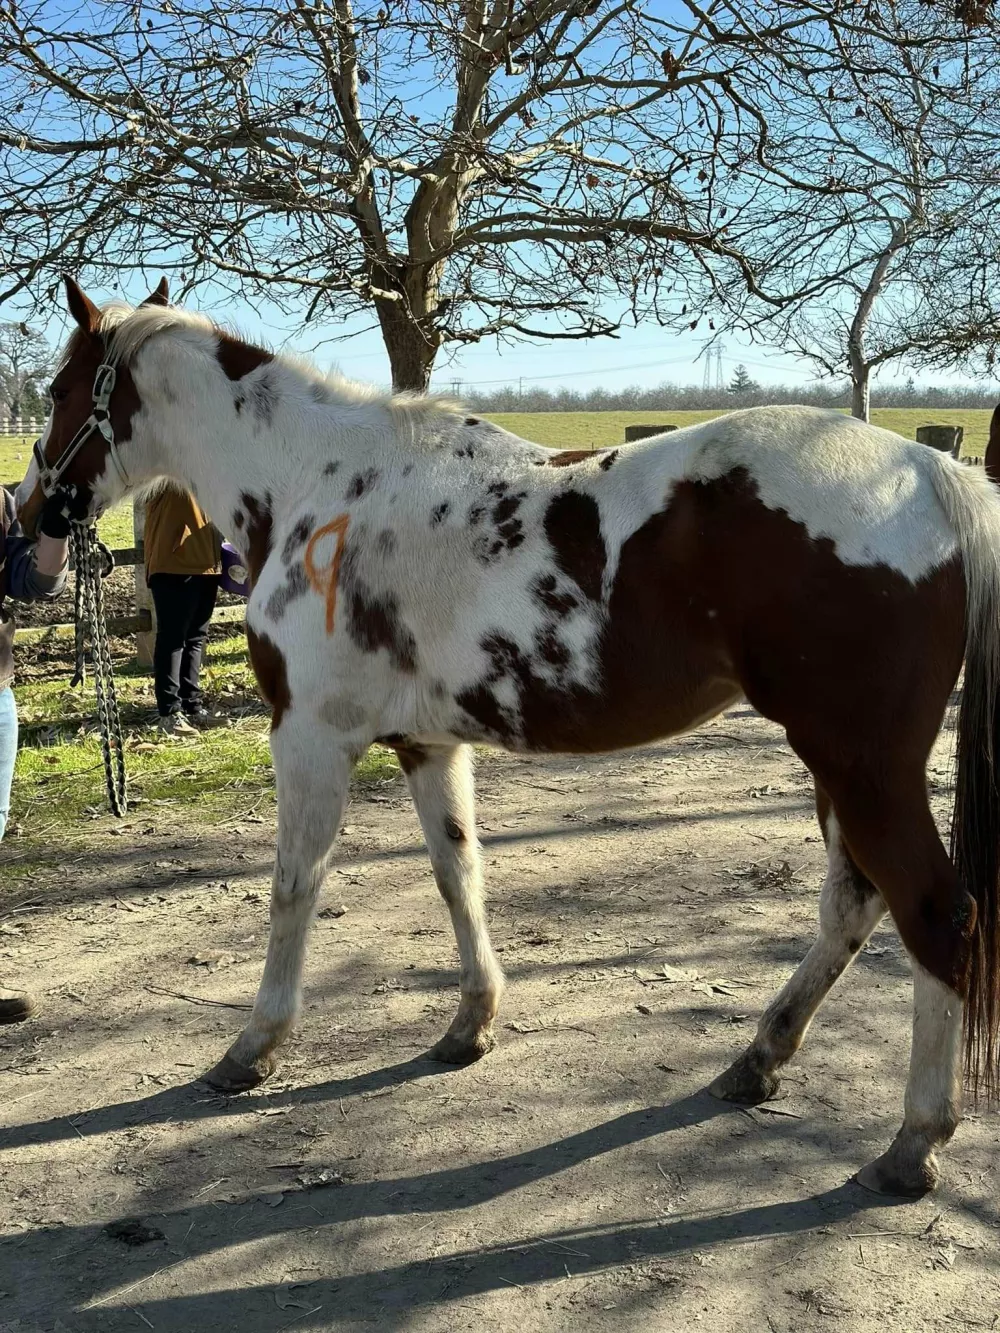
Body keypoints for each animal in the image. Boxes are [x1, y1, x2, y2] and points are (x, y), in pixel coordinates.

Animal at [13, 273, 1000, 1199]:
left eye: (59, 388)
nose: (29, 513)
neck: (319, 481)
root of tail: (927, 475)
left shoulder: (309, 737)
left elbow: (294, 889)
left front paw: (254, 1046)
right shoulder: (428, 745)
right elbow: (460, 875)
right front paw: (469, 1023)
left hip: (860, 763)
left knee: (934, 915)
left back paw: (912, 1142)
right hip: (838, 762)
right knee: (854, 905)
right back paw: (757, 1060)